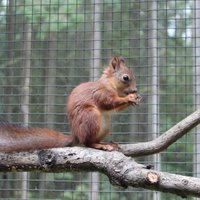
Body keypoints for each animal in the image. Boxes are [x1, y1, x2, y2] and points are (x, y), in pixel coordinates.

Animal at [0, 57, 141, 152]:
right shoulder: (100, 93)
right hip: (90, 116)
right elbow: (109, 103)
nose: (135, 90)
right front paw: (129, 98)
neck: (109, 84)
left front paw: (136, 99)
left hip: (105, 125)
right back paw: (100, 145)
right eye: (125, 78)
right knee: (87, 142)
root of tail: (76, 135)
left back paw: (107, 143)